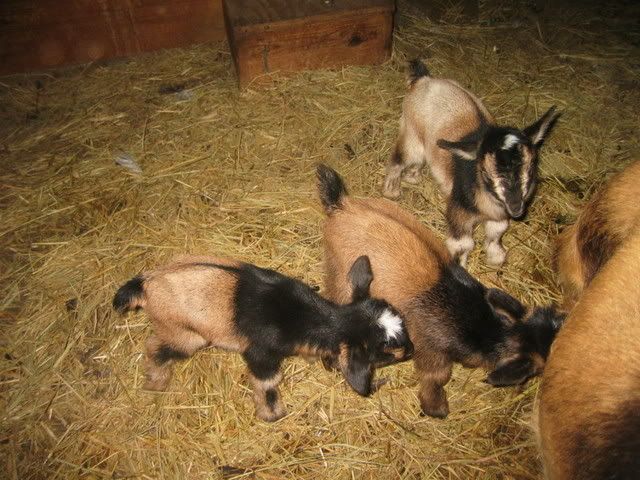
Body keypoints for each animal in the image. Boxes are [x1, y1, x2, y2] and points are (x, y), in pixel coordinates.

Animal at [113, 255, 413, 422]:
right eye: (386, 352)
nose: (412, 350)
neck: (307, 317)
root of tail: (145, 284)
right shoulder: (261, 353)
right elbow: (267, 383)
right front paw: (273, 415)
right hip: (185, 335)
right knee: (155, 347)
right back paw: (156, 383)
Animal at [318, 164, 563, 418]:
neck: (477, 322)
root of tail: (341, 205)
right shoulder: (430, 348)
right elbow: (437, 375)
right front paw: (435, 407)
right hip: (340, 276)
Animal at [383, 60, 560, 267]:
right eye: (485, 173)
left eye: (531, 169)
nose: (516, 207)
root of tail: (425, 79)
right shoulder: (459, 209)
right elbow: (462, 244)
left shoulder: (499, 215)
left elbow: (497, 231)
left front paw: (496, 257)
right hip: (412, 133)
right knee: (400, 160)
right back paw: (391, 191)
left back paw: (413, 178)